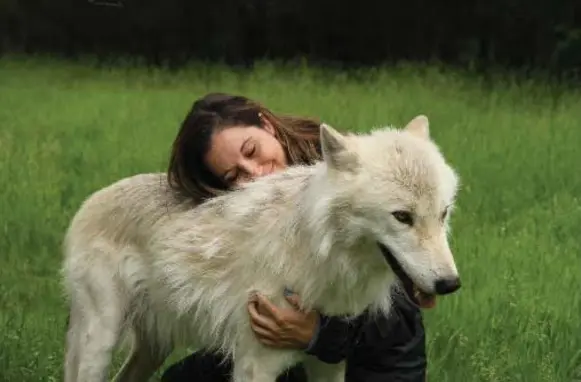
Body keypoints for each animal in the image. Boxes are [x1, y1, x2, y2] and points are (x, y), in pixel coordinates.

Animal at [62, 115, 462, 382]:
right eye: (402, 217)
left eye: (443, 213)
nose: (450, 284)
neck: (318, 249)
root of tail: (90, 201)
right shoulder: (254, 365)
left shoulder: (329, 358)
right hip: (101, 340)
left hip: (152, 347)